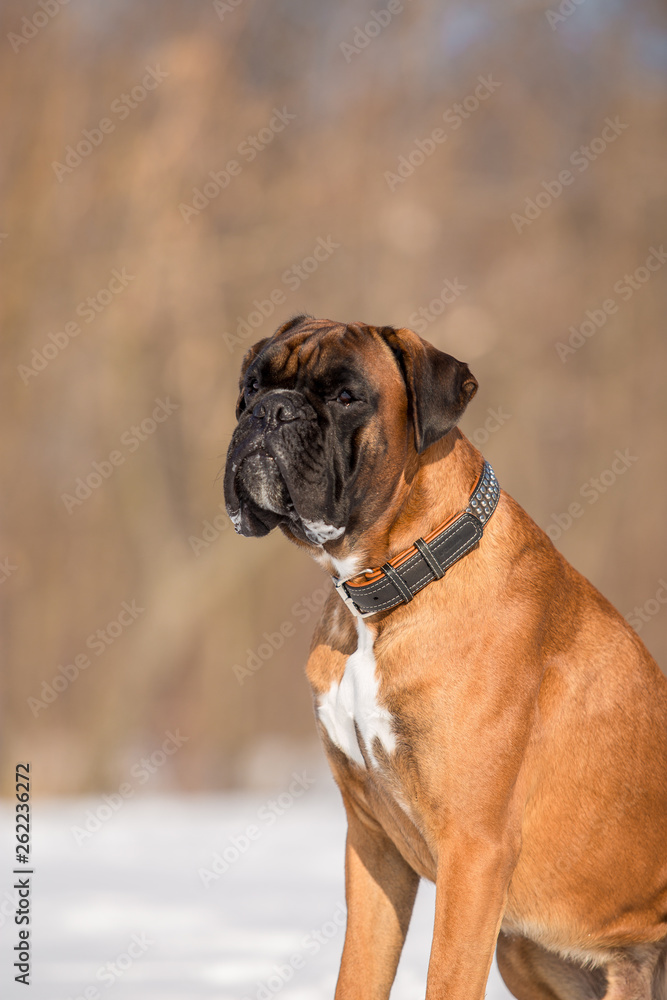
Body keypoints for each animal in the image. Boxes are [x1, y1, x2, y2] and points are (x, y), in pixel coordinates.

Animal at [224, 314, 667, 1000]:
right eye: (251, 385)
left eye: (346, 396)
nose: (271, 411)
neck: (387, 588)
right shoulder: (372, 845)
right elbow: (358, 975)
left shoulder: (474, 853)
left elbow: (447, 977)